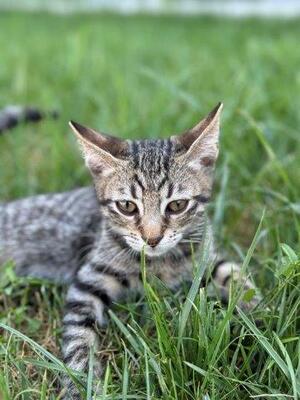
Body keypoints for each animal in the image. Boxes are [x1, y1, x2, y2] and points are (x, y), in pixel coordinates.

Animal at [0, 104, 258, 400]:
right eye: (127, 206)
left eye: (177, 205)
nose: (152, 238)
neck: (159, 265)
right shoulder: (89, 280)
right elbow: (78, 338)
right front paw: (82, 384)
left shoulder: (205, 258)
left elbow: (239, 279)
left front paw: (262, 324)